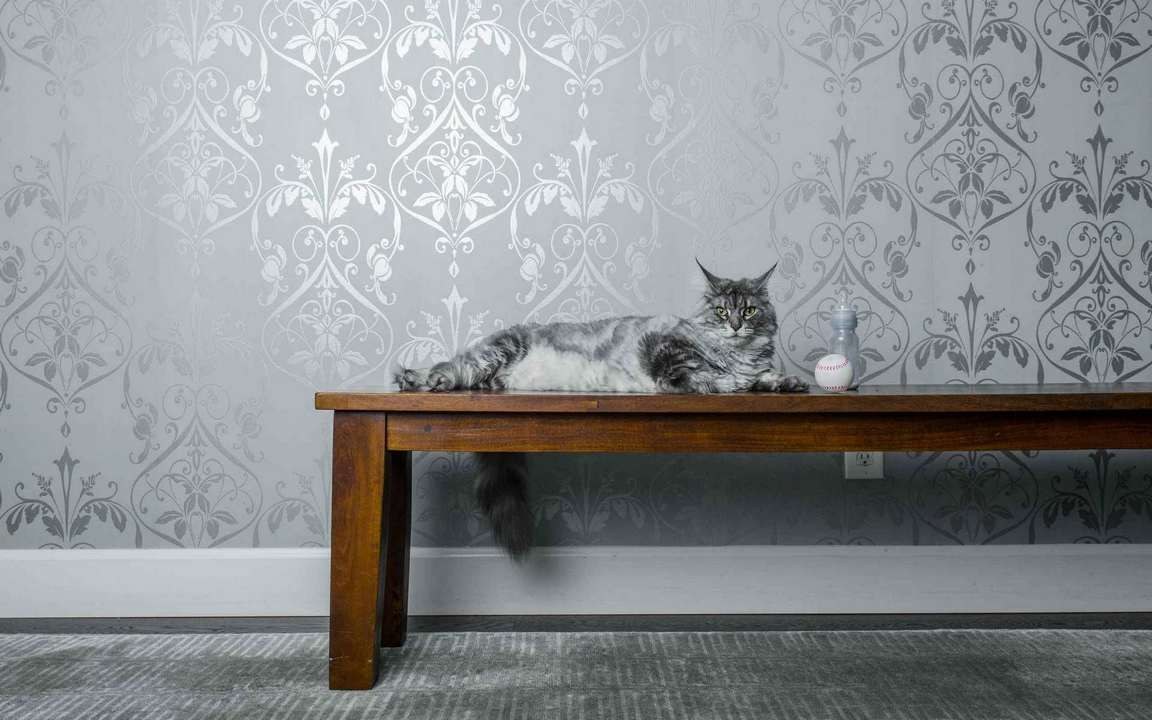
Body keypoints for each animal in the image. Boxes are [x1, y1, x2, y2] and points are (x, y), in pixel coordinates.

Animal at [395, 261, 808, 557]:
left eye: (750, 311)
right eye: (722, 312)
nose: (736, 326)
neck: (737, 354)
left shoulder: (753, 367)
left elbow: (765, 376)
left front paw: (788, 382)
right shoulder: (665, 351)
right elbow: (702, 376)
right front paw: (725, 381)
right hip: (492, 354)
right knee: (449, 368)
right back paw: (415, 378)